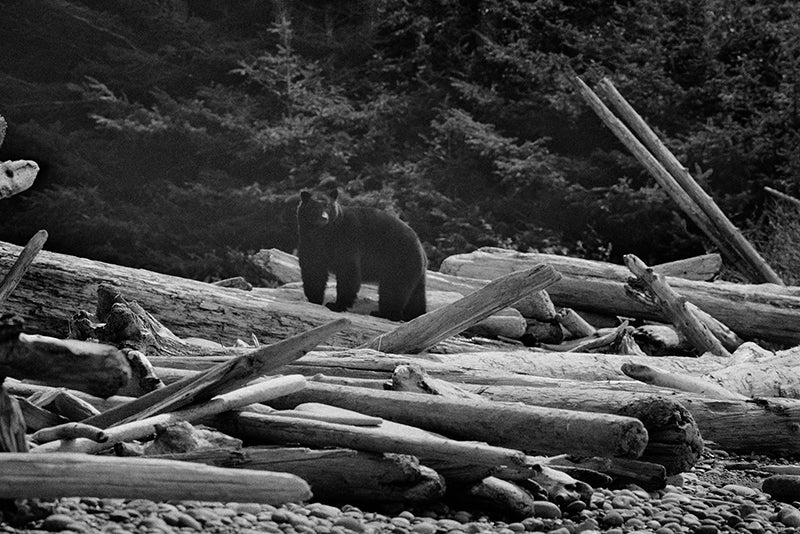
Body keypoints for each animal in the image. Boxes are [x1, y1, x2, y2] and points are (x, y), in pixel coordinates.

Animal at [296, 187, 427, 321]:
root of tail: (420, 246)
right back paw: (413, 315)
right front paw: (314, 299)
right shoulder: (309, 241)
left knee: (394, 288)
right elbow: (313, 269)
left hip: (399, 259)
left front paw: (336, 305)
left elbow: (348, 270)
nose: (323, 218)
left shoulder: (347, 239)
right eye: (314, 207)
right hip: (413, 268)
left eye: (327, 206)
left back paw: (385, 313)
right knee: (416, 295)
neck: (323, 233)